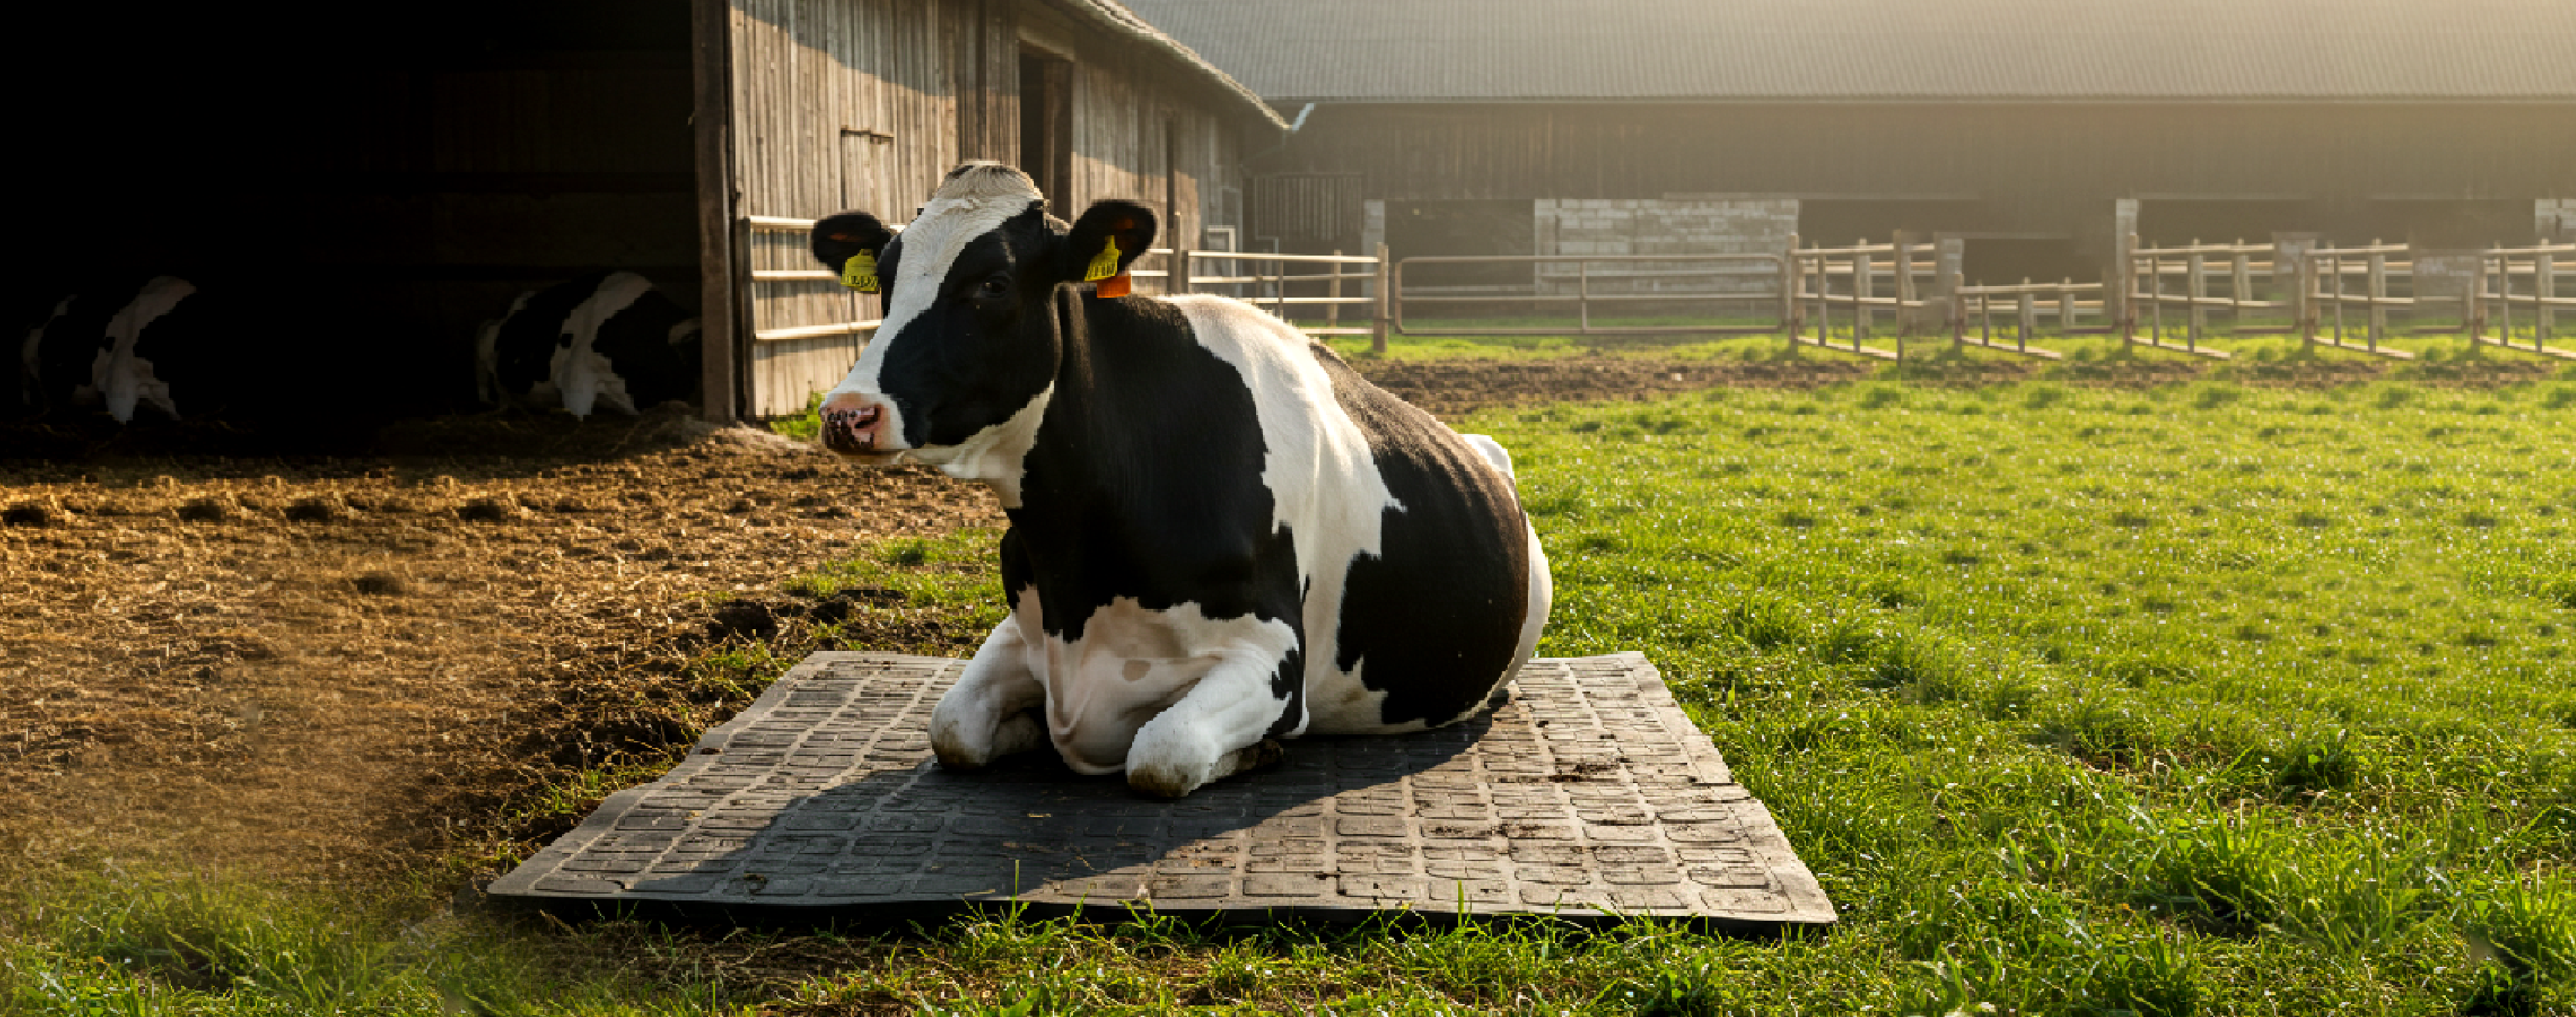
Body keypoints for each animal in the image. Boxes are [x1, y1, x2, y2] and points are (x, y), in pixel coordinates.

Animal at [804, 163, 1551, 798]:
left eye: (993, 283)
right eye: (885, 279)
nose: (847, 412)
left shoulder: (1272, 658)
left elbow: (1161, 753)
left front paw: (1254, 752)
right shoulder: (1024, 631)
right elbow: (952, 728)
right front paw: (1024, 730)